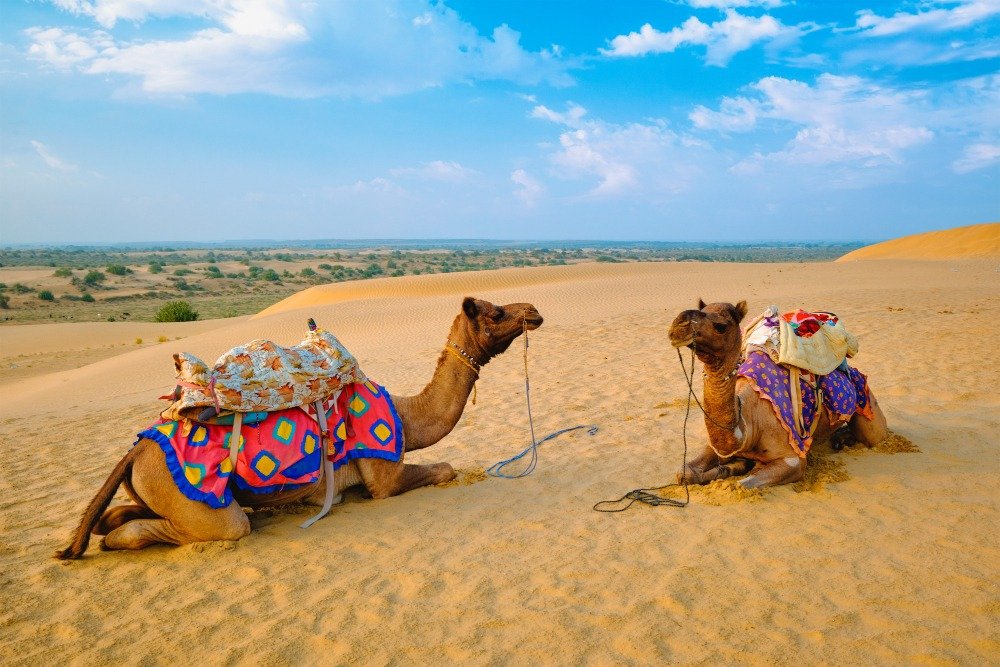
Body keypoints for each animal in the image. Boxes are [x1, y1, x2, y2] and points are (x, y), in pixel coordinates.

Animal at [56, 297, 542, 558]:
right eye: (497, 312)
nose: (534, 311)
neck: (408, 414)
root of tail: (135, 451)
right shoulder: (382, 475)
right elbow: (444, 469)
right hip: (200, 503)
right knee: (207, 526)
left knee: (116, 515)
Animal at [668, 300, 888, 488]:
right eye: (703, 311)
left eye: (720, 326)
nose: (678, 324)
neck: (749, 423)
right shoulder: (718, 447)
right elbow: (684, 473)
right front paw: (733, 466)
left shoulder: (793, 459)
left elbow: (743, 484)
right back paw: (839, 439)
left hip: (869, 407)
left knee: (872, 435)